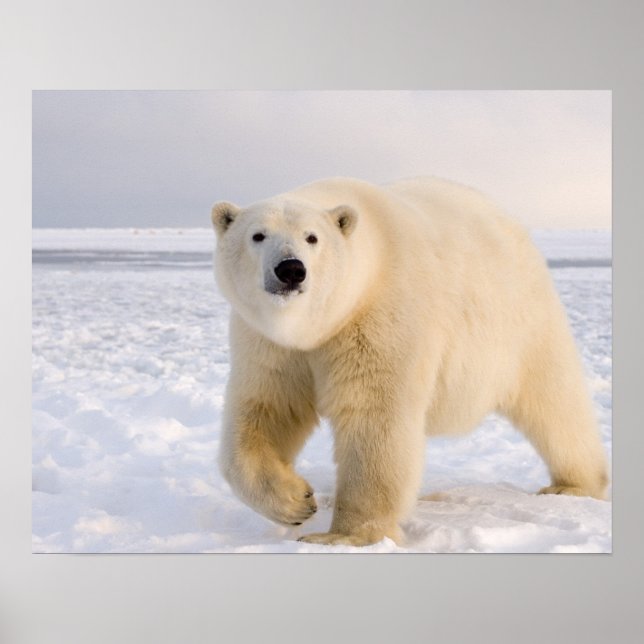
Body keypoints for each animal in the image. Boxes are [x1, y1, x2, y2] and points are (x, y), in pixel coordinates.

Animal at [211, 176, 608, 547]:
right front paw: (297, 501)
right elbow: (268, 409)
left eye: (312, 238)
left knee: (554, 401)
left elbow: (373, 417)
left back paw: (573, 485)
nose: (291, 269)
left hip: (521, 321)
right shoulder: (269, 343)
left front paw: (343, 536)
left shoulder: (381, 317)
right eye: (258, 235)